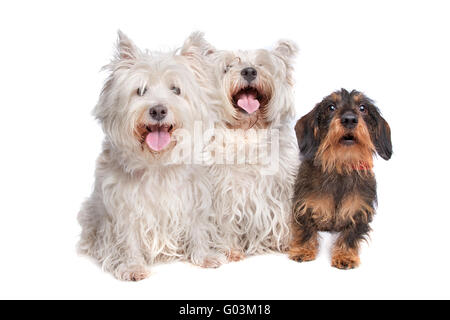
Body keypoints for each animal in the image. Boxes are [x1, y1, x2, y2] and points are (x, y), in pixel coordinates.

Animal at [78, 31, 225, 280]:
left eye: (176, 89)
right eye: (141, 90)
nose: (158, 110)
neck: (157, 163)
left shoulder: (193, 197)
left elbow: (197, 227)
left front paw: (204, 256)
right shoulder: (123, 206)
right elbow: (127, 238)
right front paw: (132, 267)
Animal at [181, 33, 300, 258]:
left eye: (261, 64)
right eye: (227, 67)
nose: (249, 71)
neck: (246, 133)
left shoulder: (280, 188)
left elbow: (284, 216)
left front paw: (289, 242)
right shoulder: (222, 192)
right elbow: (225, 221)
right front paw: (231, 250)